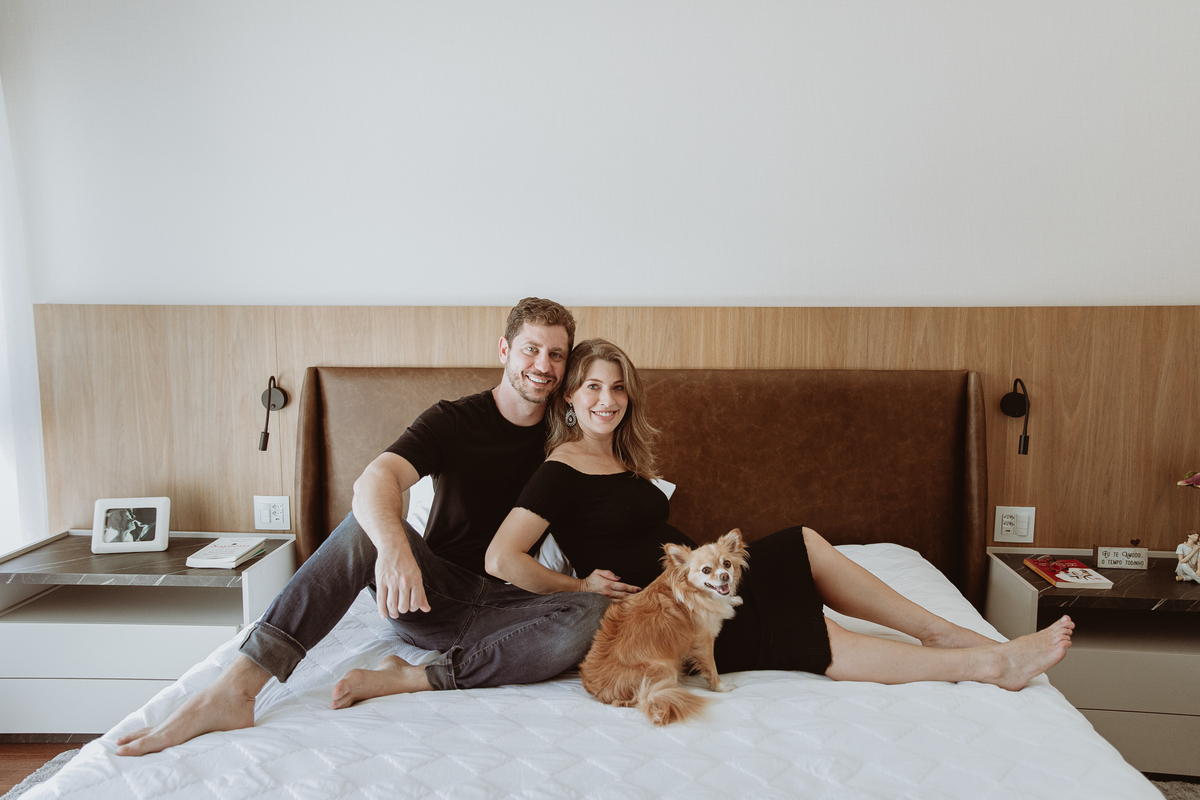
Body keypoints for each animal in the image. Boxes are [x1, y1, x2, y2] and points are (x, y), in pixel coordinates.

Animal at [579, 529, 748, 725]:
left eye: (727, 564)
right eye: (706, 570)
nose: (725, 576)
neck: (694, 592)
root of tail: (599, 693)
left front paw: (733, 599)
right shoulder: (703, 643)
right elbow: (712, 668)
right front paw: (722, 687)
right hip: (663, 668)